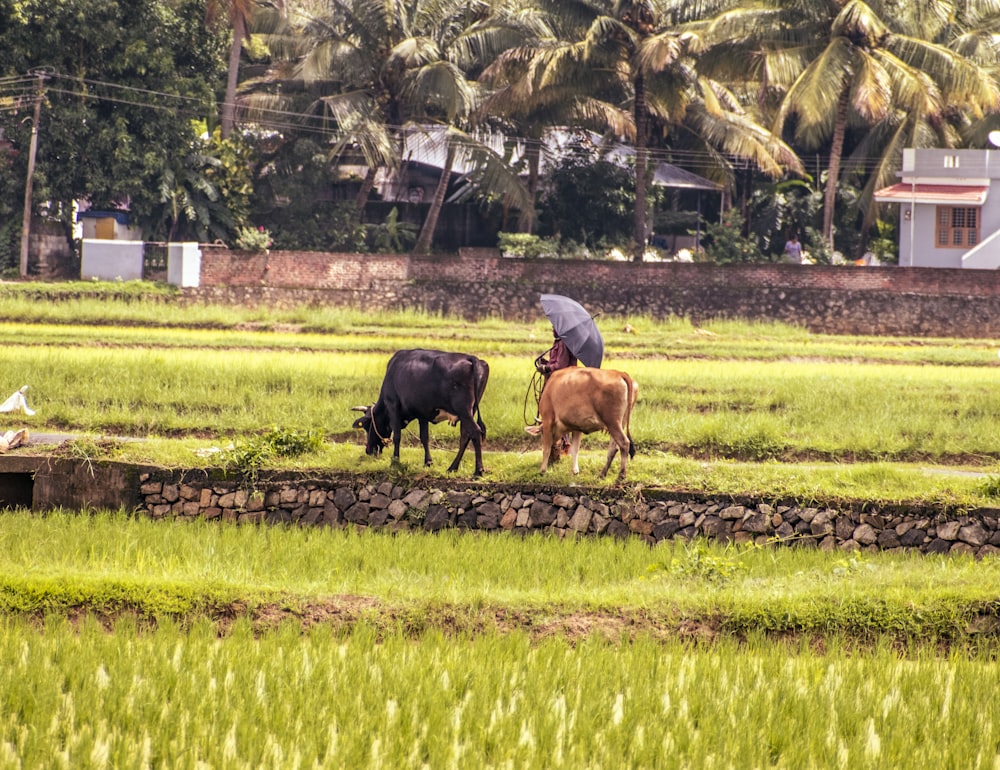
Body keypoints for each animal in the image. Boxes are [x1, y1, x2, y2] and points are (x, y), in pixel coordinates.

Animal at [354, 346, 490, 474]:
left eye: (367, 425)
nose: (368, 450)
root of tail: (472, 358)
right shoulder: (422, 414)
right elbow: (424, 437)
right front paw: (428, 462)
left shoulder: (393, 405)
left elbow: (397, 436)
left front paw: (395, 462)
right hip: (470, 411)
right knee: (465, 436)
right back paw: (452, 468)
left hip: (463, 410)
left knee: (475, 432)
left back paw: (478, 471)